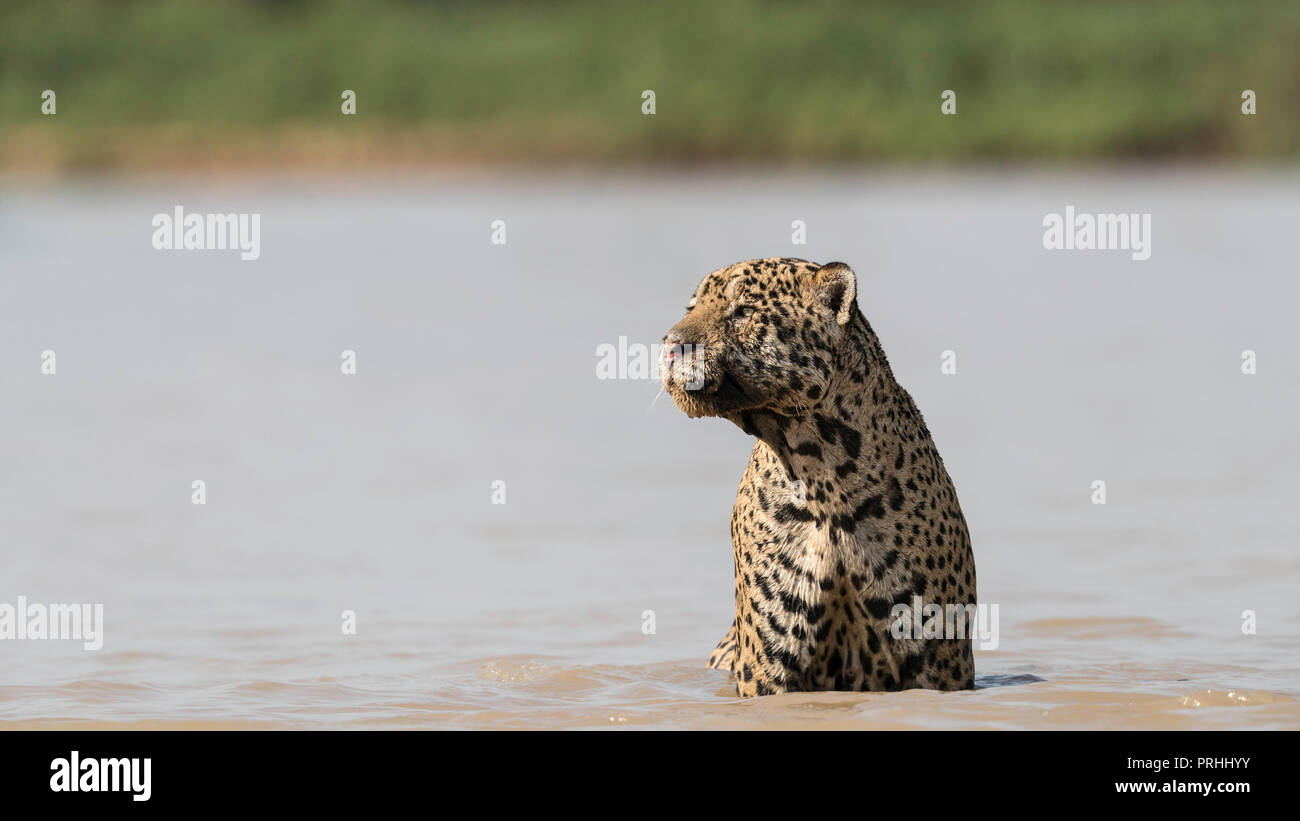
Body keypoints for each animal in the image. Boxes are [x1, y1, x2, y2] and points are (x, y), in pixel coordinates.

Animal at [659, 257, 976, 696]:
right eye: (691, 309)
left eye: (742, 311)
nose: (670, 345)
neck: (823, 475)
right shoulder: (766, 670)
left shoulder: (938, 662)